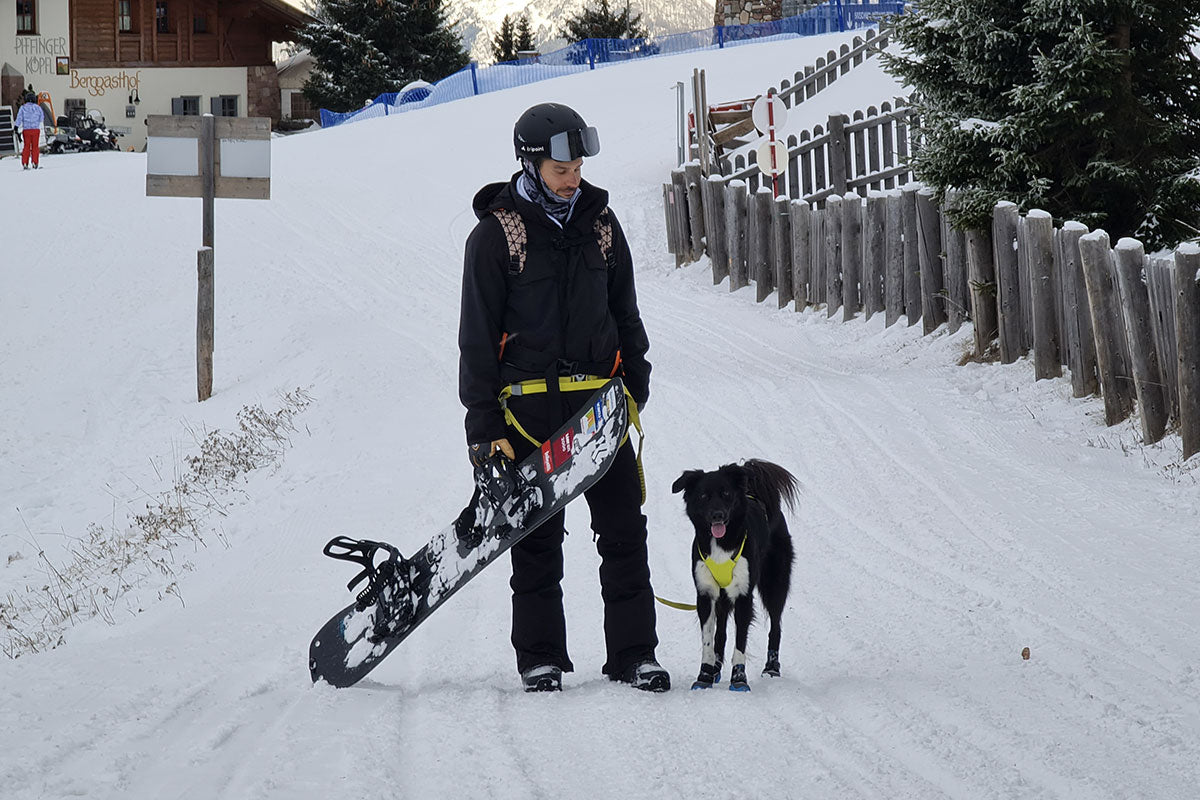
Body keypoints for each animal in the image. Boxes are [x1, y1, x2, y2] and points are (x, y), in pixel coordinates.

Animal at [676, 460, 796, 690]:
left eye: (726, 493)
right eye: (703, 496)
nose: (718, 515)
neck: (720, 545)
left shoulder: (743, 595)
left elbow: (741, 640)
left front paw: (739, 679)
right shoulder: (705, 594)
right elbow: (708, 640)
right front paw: (705, 676)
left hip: (774, 583)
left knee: (775, 626)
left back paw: (772, 668)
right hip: (722, 597)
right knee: (721, 633)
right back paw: (715, 669)